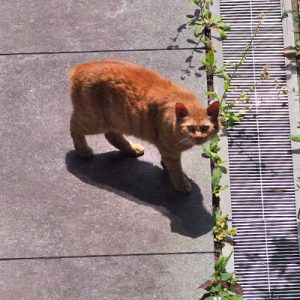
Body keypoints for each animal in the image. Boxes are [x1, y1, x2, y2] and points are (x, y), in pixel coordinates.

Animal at [69, 59, 220, 193]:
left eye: (205, 128)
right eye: (190, 128)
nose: (199, 138)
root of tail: (80, 67)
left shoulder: (167, 149)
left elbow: (167, 163)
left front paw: (165, 167)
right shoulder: (169, 151)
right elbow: (176, 170)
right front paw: (181, 184)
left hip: (116, 120)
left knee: (111, 135)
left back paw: (131, 149)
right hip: (93, 121)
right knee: (73, 127)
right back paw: (83, 150)